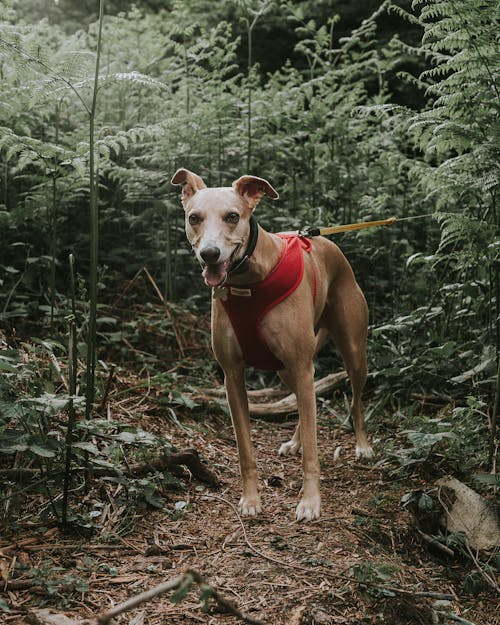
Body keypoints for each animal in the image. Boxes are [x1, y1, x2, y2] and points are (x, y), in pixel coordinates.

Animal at [172, 168, 372, 520]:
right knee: (307, 404)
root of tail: (323, 239)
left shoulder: (301, 364)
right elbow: (245, 450)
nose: (210, 254)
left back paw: (361, 445)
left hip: (352, 353)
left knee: (354, 402)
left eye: (232, 216)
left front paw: (310, 502)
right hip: (287, 371)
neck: (248, 282)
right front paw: (251, 499)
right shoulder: (233, 376)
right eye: (194, 217)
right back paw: (295, 441)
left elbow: (312, 454)